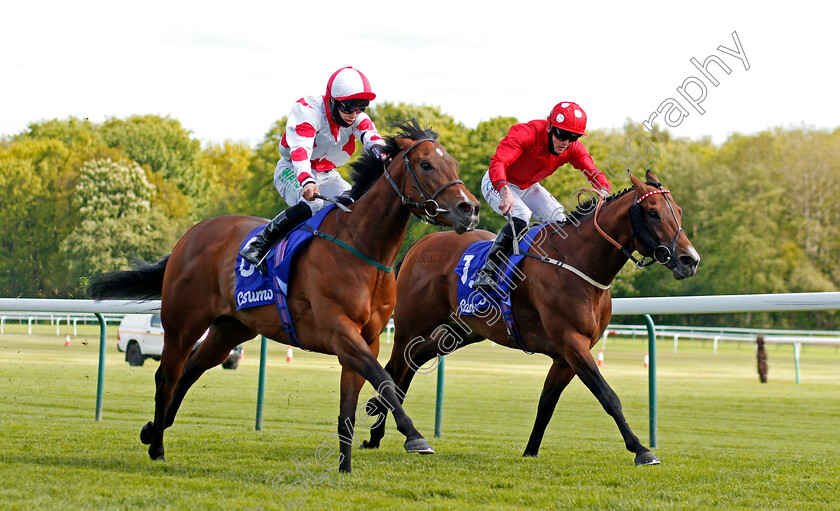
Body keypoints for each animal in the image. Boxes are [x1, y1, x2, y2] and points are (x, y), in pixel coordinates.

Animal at [88, 119, 482, 472]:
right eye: (426, 164)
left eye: (453, 163)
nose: (469, 208)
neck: (360, 248)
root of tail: (191, 235)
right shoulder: (339, 331)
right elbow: (383, 380)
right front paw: (415, 437)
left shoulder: (366, 338)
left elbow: (351, 404)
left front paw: (345, 468)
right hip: (183, 323)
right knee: (166, 378)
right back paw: (156, 446)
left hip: (229, 329)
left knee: (190, 372)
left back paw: (152, 430)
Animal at [364, 170, 700, 466]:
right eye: (653, 212)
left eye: (679, 212)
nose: (690, 260)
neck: (578, 262)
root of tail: (419, 245)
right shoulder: (572, 342)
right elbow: (608, 395)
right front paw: (642, 450)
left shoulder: (566, 356)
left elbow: (547, 403)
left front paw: (530, 451)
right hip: (411, 326)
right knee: (395, 367)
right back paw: (382, 432)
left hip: (459, 331)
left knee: (413, 361)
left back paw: (380, 429)